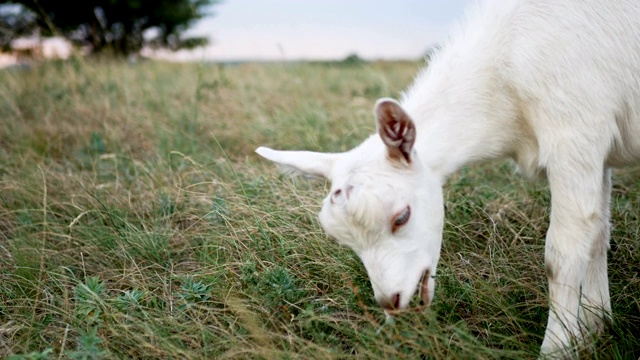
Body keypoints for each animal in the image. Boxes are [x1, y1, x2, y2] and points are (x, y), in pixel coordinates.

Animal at [255, 0, 640, 354]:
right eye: (343, 240)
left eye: (401, 216)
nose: (391, 301)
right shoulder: (595, 152)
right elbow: (597, 233)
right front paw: (596, 326)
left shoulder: (575, 136)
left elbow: (562, 256)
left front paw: (558, 347)